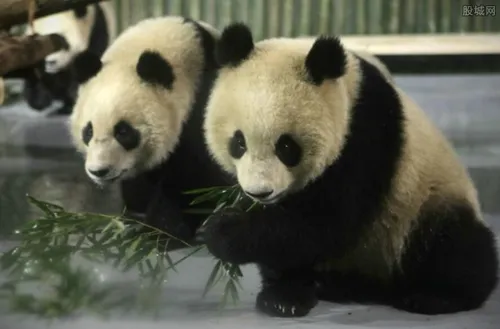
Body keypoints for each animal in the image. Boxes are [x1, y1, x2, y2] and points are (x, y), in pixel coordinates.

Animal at [68, 16, 234, 249]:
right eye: (88, 131)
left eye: (123, 132)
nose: (99, 171)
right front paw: (135, 216)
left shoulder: (200, 111)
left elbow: (191, 180)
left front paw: (160, 231)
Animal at [200, 22, 500, 316]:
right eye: (238, 143)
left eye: (286, 147)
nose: (260, 193)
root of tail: (381, 284)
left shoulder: (367, 135)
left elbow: (326, 220)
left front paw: (221, 230)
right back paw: (310, 290)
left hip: (425, 202)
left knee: (455, 246)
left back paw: (435, 297)